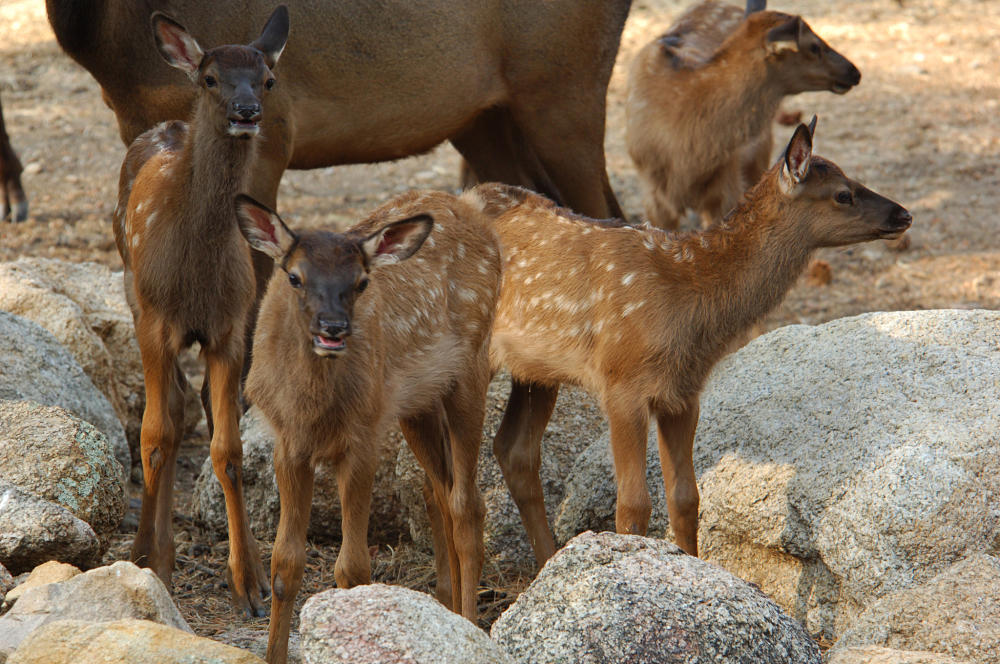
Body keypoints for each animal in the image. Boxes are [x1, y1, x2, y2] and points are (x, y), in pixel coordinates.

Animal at [115, 5, 292, 616]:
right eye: (212, 78)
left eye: (267, 78)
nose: (247, 112)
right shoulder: (154, 320)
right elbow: (154, 436)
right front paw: (154, 565)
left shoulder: (229, 327)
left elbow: (228, 447)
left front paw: (252, 585)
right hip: (133, 295)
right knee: (165, 415)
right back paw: (148, 549)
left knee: (192, 410)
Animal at [233, 188, 500, 664]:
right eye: (295, 277)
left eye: (360, 282)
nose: (334, 328)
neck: (312, 410)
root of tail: (470, 205)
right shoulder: (288, 443)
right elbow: (285, 563)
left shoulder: (363, 437)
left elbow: (353, 568)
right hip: (416, 404)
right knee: (439, 490)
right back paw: (447, 608)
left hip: (471, 366)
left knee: (468, 503)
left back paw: (469, 622)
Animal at [472, 119, 912, 564]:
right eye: (843, 193)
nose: (904, 214)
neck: (689, 308)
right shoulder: (620, 382)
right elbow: (633, 505)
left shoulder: (683, 393)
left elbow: (686, 498)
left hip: (536, 372)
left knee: (514, 451)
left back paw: (545, 562)